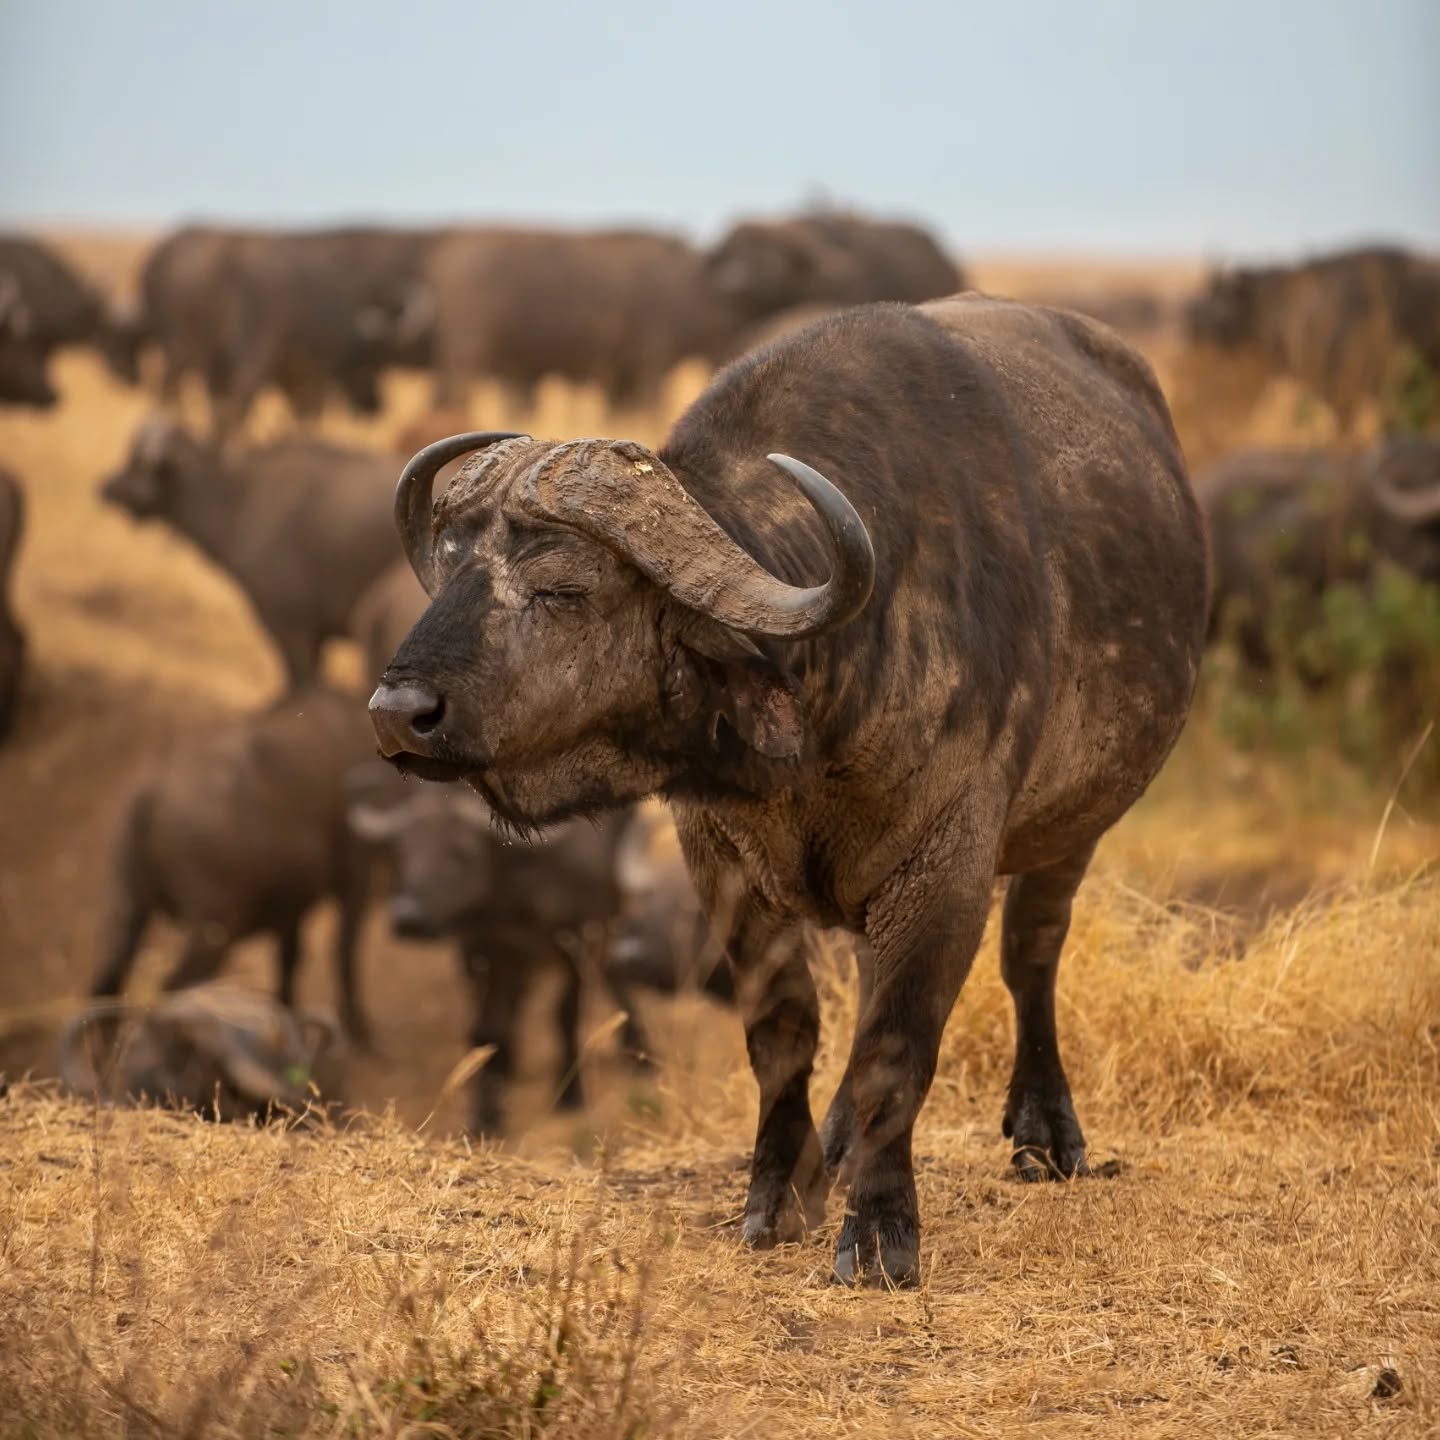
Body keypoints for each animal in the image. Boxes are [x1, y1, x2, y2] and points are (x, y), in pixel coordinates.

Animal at [90, 687, 377, 1043]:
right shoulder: (355, 874)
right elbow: (344, 950)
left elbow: (290, 958)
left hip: (127, 909)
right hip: (213, 930)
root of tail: (149, 795)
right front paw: (356, 1026)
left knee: (106, 988)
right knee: (173, 990)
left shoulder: (291, 903)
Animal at [366, 296, 1209, 1285]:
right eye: (451, 565)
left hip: (1075, 827)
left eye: (564, 588)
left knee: (1031, 956)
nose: (399, 712)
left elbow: (896, 1044)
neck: (818, 730)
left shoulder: (947, 865)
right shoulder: (723, 864)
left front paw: (880, 1232)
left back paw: (1046, 1132)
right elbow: (783, 1032)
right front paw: (779, 1193)